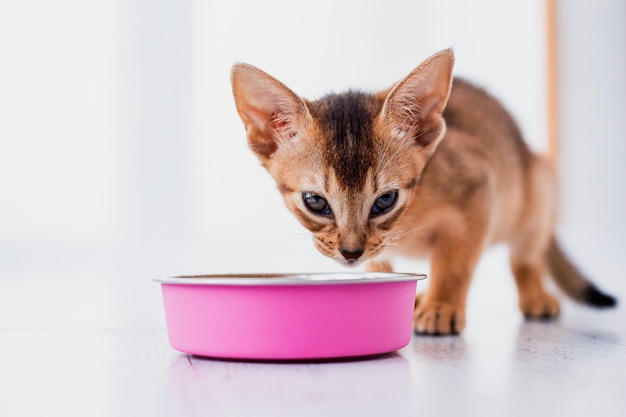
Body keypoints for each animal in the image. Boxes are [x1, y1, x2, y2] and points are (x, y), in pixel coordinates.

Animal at [229, 49, 616, 334]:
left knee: (524, 255)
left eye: (385, 200)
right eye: (315, 202)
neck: (407, 223)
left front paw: (443, 306)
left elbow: (456, 264)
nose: (351, 252)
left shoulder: (479, 189)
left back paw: (534, 295)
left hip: (537, 188)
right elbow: (384, 263)